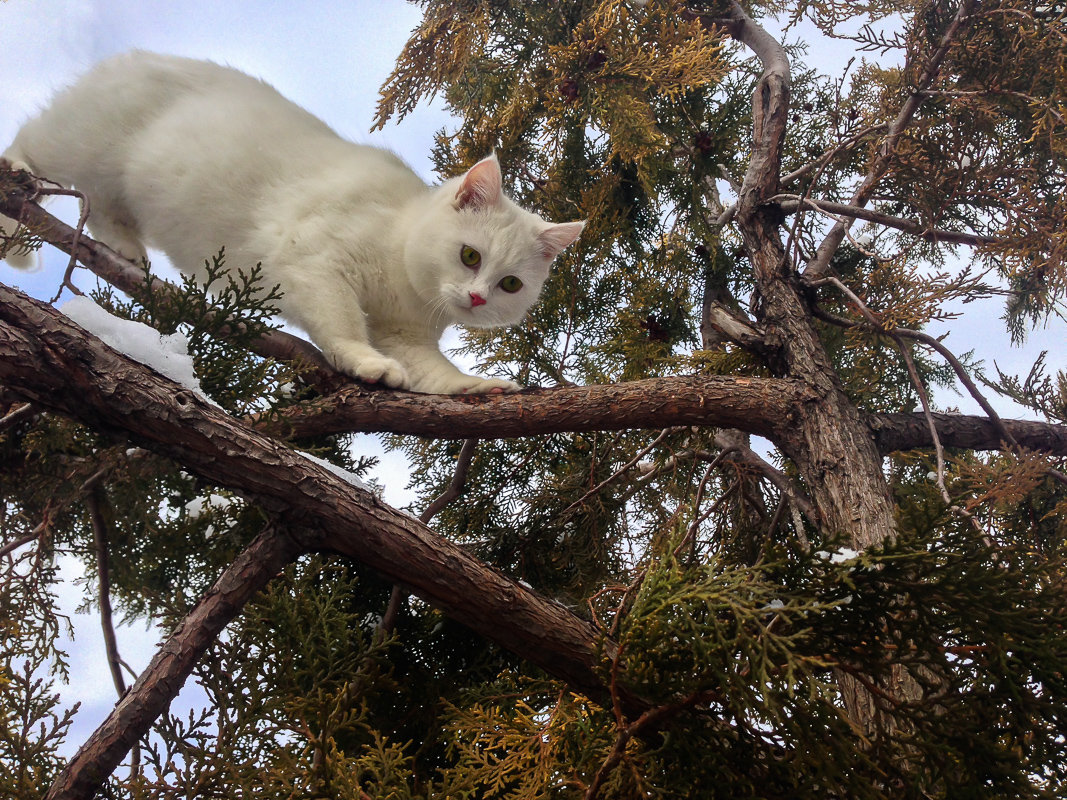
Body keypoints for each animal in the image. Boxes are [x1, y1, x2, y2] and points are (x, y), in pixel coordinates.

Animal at [2, 50, 584, 394]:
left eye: (511, 284)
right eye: (469, 256)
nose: (479, 297)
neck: (405, 281)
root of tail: (131, 56)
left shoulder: (404, 335)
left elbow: (435, 373)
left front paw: (476, 386)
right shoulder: (315, 261)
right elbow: (343, 323)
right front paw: (365, 362)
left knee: (102, 209)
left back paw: (125, 250)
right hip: (81, 143)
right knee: (29, 144)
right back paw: (17, 191)